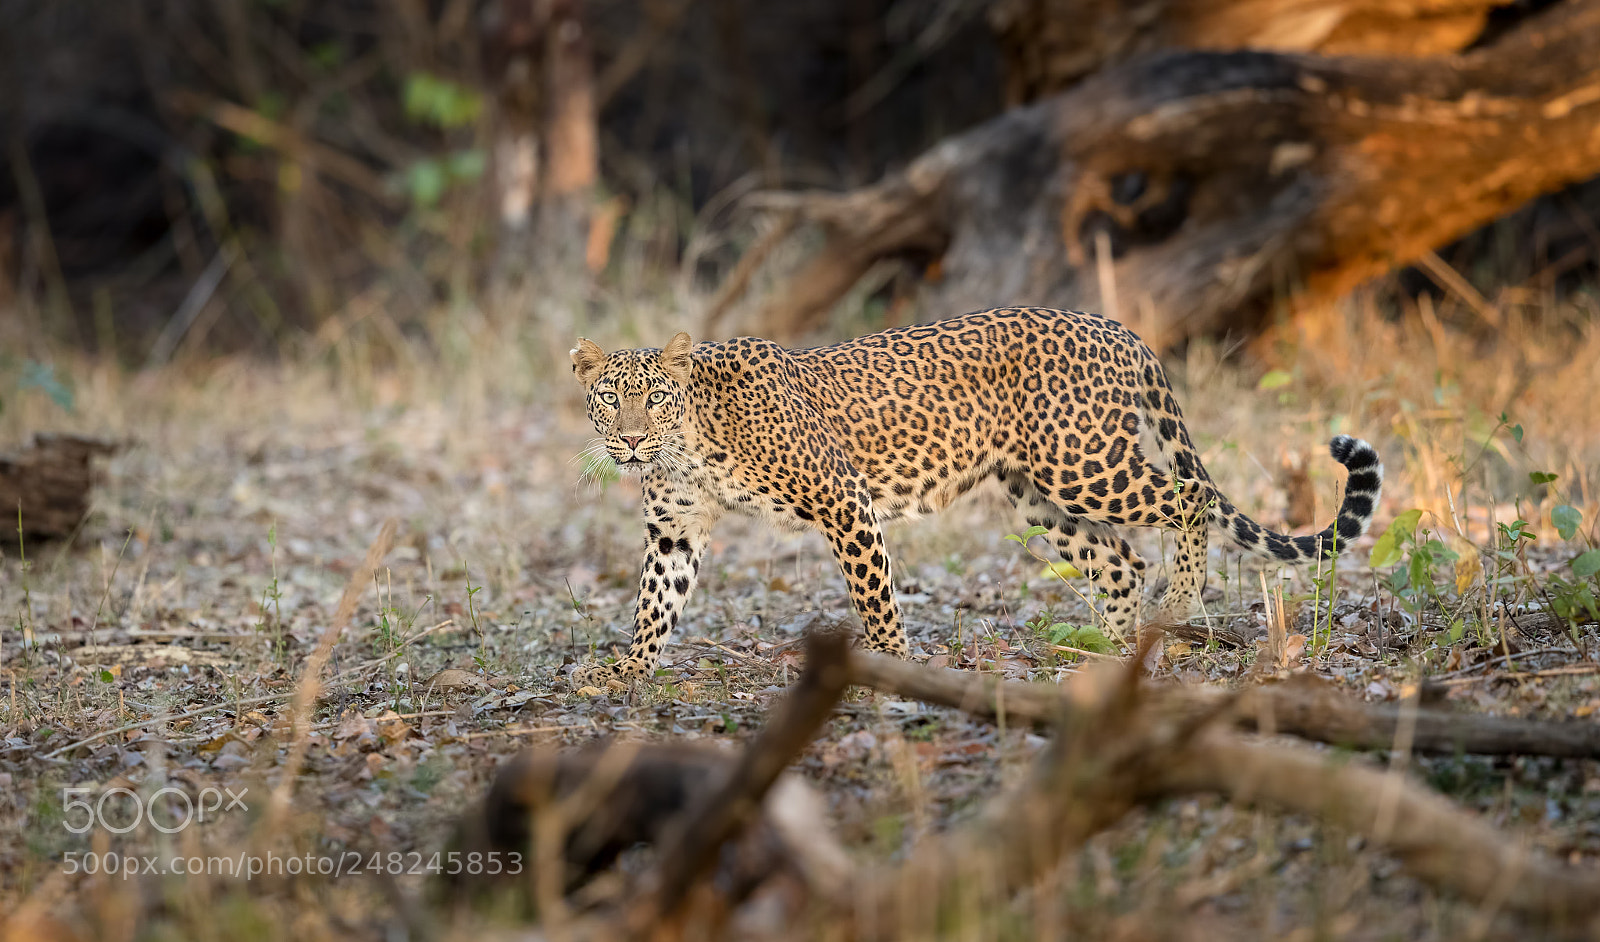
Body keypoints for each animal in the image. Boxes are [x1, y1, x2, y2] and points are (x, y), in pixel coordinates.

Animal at [567, 306, 1382, 685]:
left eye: (655, 398)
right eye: (608, 399)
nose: (630, 442)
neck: (689, 445)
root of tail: (1117, 327)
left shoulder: (843, 500)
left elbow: (875, 598)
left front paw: (895, 667)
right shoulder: (675, 530)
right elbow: (655, 603)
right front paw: (625, 672)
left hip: (1084, 462)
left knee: (1188, 497)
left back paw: (1177, 605)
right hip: (1037, 493)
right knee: (1120, 560)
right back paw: (1112, 649)